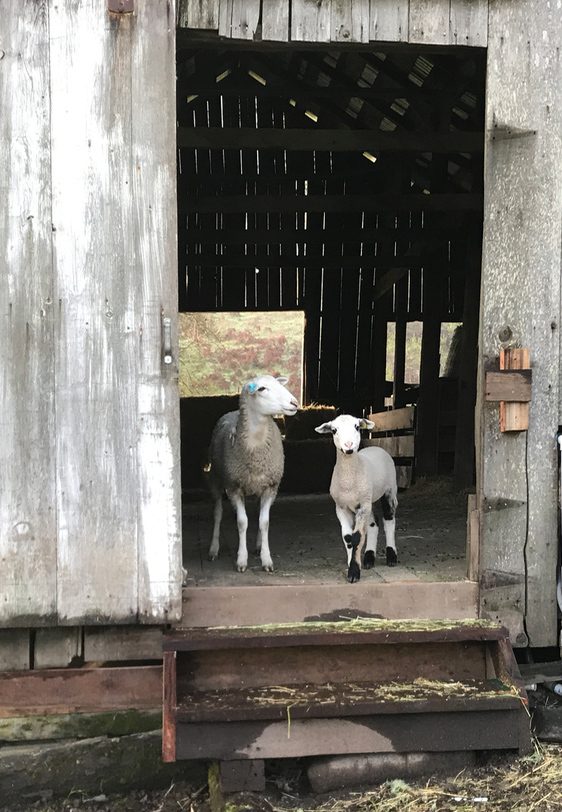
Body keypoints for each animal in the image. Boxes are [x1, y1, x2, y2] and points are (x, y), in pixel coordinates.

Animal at [207, 374, 299, 573]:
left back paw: (257, 545)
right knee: (217, 513)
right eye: (262, 389)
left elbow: (264, 522)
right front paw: (241, 560)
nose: (294, 403)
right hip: (216, 479)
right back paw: (213, 549)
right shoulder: (233, 488)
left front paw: (266, 559)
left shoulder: (271, 487)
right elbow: (242, 522)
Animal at [315, 414, 398, 583]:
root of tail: (377, 447)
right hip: (369, 498)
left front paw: (354, 571)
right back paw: (369, 558)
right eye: (334, 430)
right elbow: (348, 538)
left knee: (389, 520)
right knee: (374, 524)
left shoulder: (362, 507)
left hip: (389, 490)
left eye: (357, 427)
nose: (349, 446)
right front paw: (352, 564)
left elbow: (357, 537)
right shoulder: (341, 507)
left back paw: (391, 556)